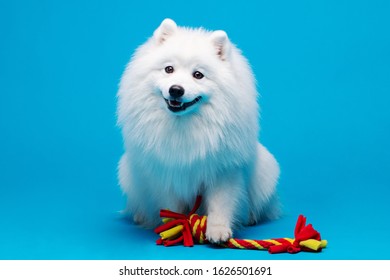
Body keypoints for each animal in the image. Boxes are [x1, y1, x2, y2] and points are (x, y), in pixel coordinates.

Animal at [116, 19, 280, 243]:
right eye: (169, 69)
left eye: (198, 75)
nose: (176, 90)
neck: (184, 125)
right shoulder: (166, 172)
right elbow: (171, 207)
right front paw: (175, 228)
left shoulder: (223, 170)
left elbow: (221, 204)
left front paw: (218, 230)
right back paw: (141, 216)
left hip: (267, 172)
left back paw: (251, 217)